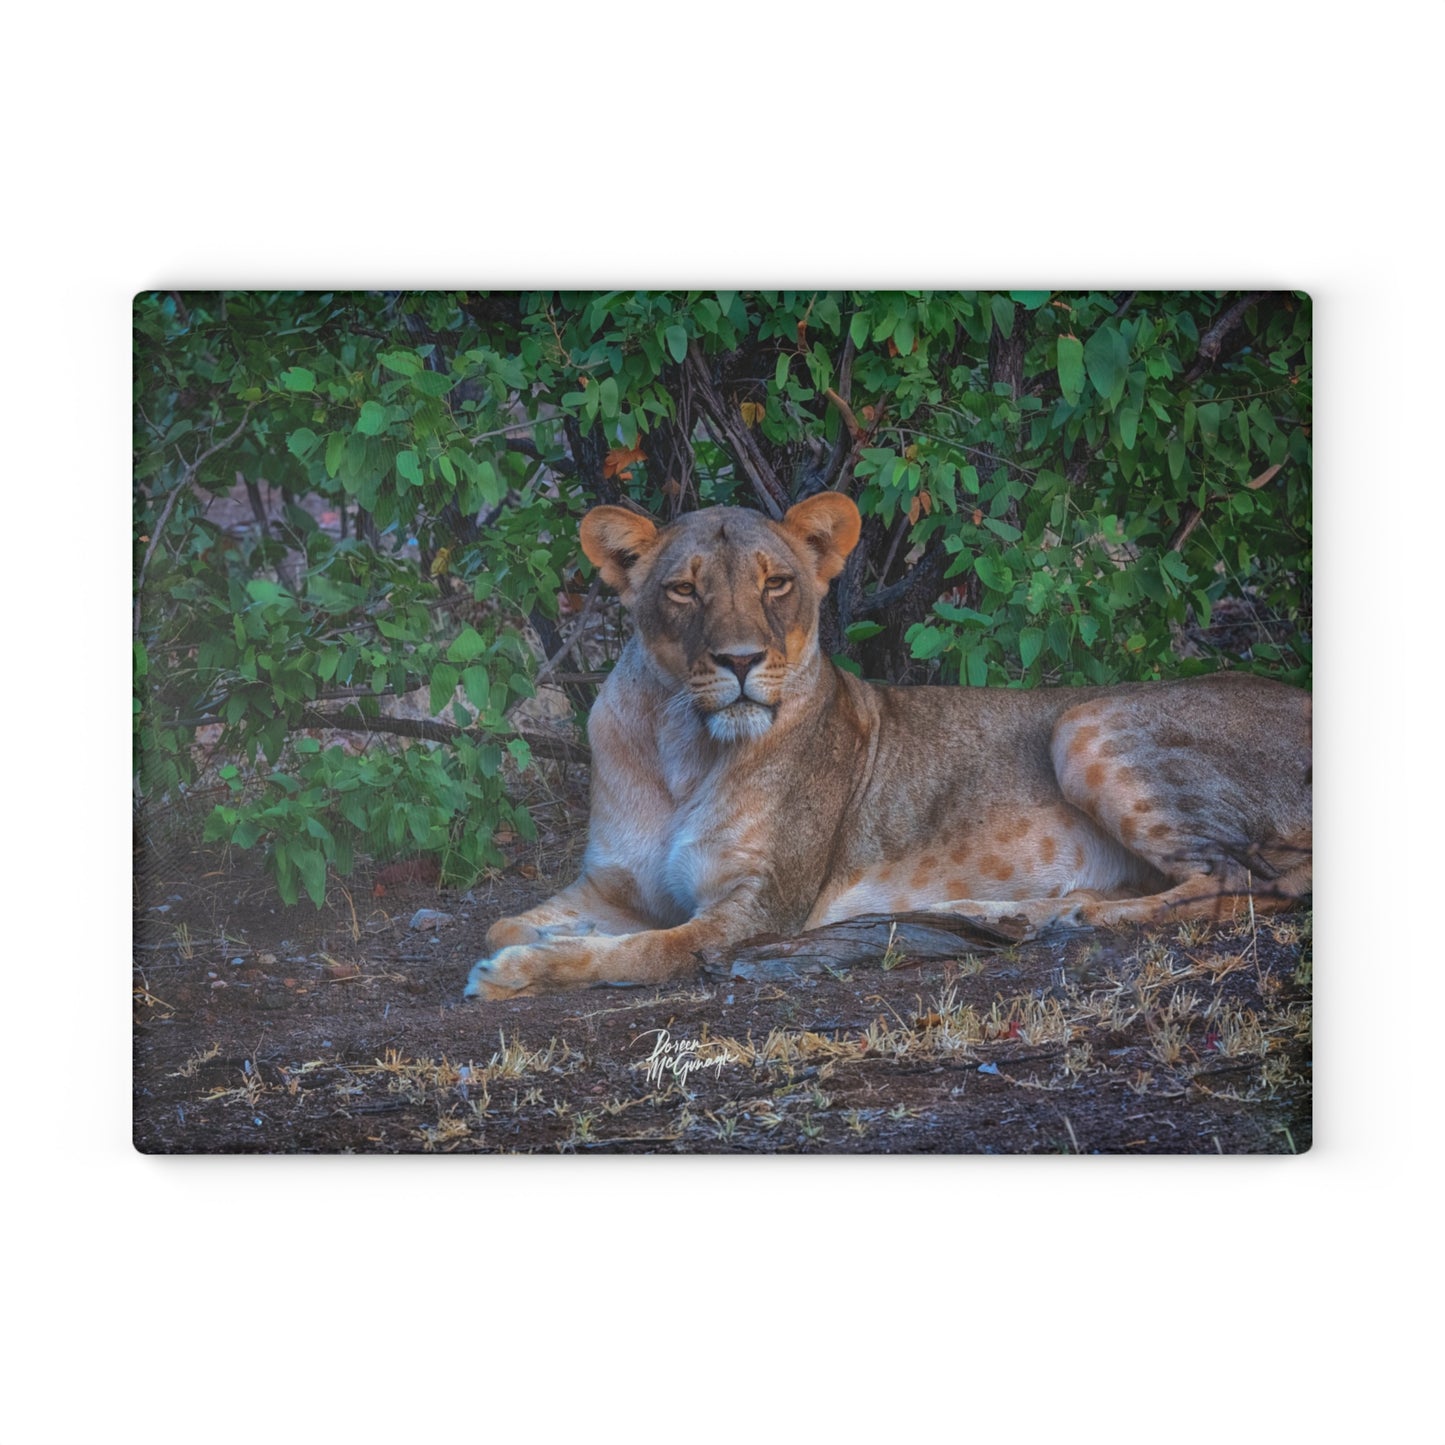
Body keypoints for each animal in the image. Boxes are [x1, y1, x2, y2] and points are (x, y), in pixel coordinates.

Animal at [465, 494, 1311, 999]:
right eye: (682, 588)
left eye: (776, 583)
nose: (738, 661)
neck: (682, 741)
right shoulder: (612, 886)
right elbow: (508, 919)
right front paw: (528, 939)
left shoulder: (754, 909)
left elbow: (639, 952)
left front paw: (515, 972)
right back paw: (1008, 914)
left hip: (1083, 720)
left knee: (1239, 882)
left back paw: (1069, 918)